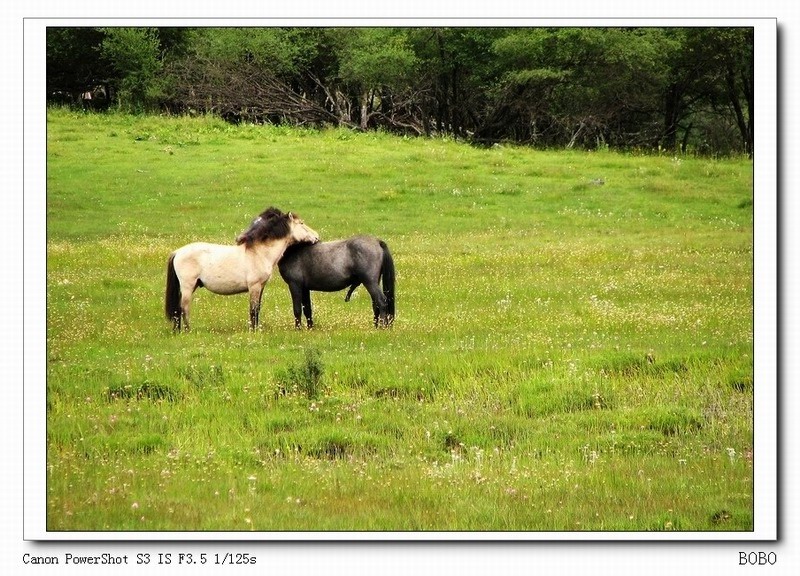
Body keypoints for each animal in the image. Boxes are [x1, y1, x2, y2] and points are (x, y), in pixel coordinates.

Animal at [165, 209, 318, 330]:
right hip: (188, 286)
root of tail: (178, 252)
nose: (316, 236)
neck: (259, 253)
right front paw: (253, 330)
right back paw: (187, 330)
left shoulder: (261, 286)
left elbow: (258, 308)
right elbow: (253, 310)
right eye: (302, 223)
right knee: (184, 308)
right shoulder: (254, 286)